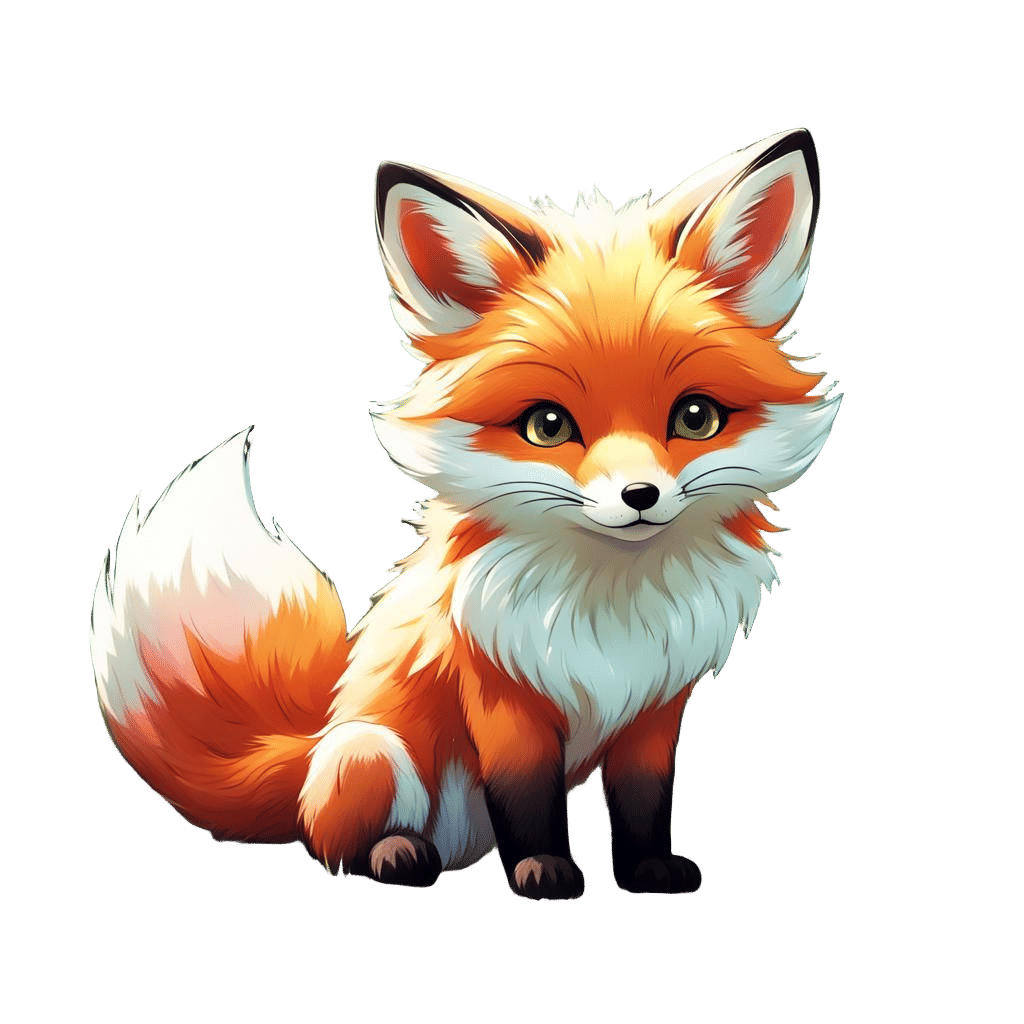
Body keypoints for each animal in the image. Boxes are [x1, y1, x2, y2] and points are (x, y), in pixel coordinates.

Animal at [89, 128, 841, 900]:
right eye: (547, 425)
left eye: (695, 417)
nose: (640, 496)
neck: (610, 610)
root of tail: (312, 742)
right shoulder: (499, 692)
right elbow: (526, 793)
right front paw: (543, 871)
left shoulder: (656, 707)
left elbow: (644, 799)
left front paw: (647, 870)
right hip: (372, 754)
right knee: (336, 844)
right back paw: (395, 855)